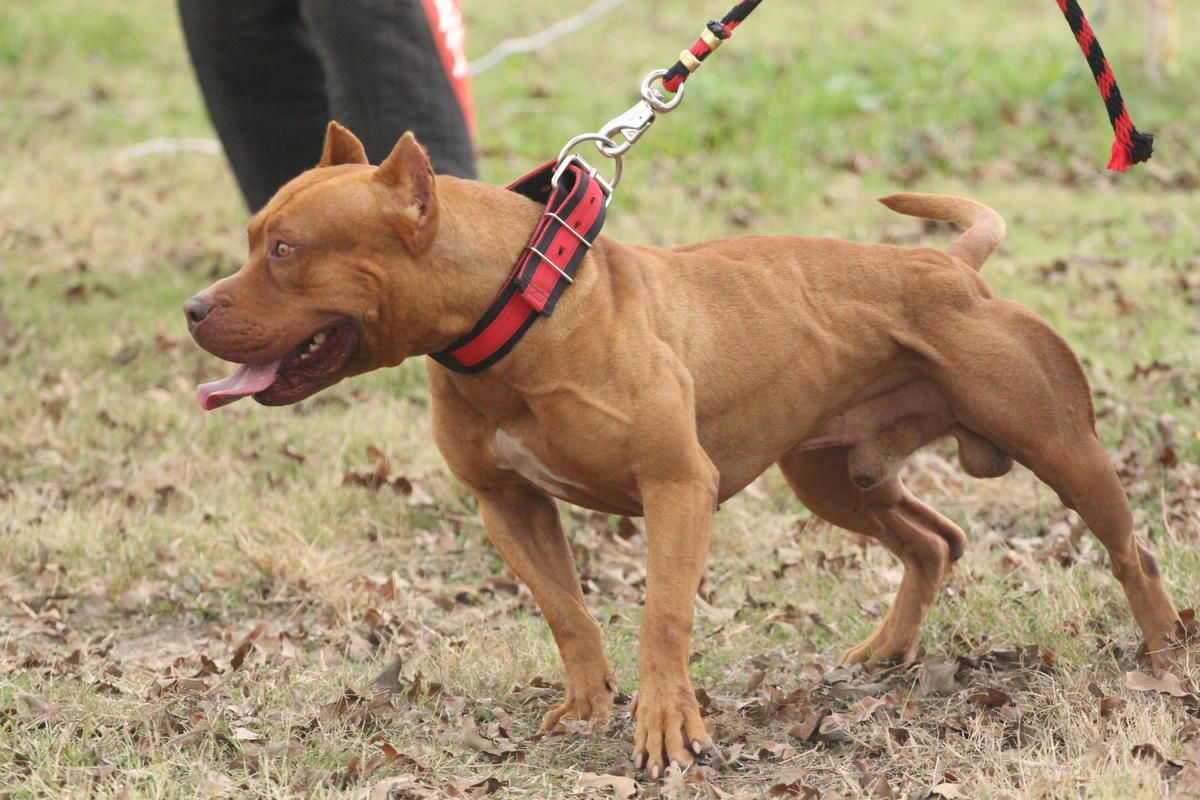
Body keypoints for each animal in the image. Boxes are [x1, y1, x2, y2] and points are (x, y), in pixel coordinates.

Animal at [187, 123, 1190, 777]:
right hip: (834, 476)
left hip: (1059, 444)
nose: (194, 309)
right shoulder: (508, 504)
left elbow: (662, 616)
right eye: (252, 239)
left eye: (286, 250)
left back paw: (1164, 658)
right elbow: (568, 612)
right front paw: (588, 706)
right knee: (935, 540)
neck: (518, 314)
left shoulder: (676, 488)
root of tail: (953, 266)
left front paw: (667, 727)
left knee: (1128, 551)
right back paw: (887, 650)